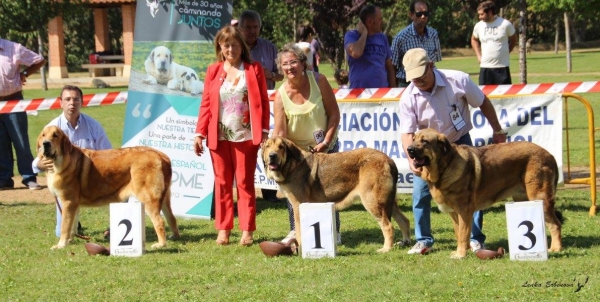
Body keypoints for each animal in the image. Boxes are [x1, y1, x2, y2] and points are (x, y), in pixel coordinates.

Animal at [35, 125, 178, 250]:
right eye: (43, 135)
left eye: (55, 135)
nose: (46, 143)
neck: (63, 160)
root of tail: (162, 156)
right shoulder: (74, 204)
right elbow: (73, 224)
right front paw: (70, 241)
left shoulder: (68, 202)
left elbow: (65, 226)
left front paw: (61, 245)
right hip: (164, 198)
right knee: (171, 218)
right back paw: (174, 236)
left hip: (148, 198)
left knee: (159, 221)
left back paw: (161, 244)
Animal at [264, 137, 412, 252]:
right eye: (267, 147)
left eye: (281, 147)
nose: (272, 155)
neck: (291, 164)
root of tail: (389, 160)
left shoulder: (298, 206)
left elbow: (300, 230)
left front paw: (300, 248)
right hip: (387, 201)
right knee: (404, 220)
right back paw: (404, 242)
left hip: (373, 201)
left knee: (388, 226)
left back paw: (386, 249)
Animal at [408, 129, 564, 258]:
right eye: (414, 139)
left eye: (425, 141)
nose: (409, 149)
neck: (445, 167)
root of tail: (549, 154)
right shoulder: (454, 213)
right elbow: (459, 233)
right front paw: (460, 251)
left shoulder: (464, 211)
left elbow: (463, 234)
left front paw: (460, 255)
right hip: (523, 199)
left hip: (540, 198)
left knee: (555, 224)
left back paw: (555, 248)